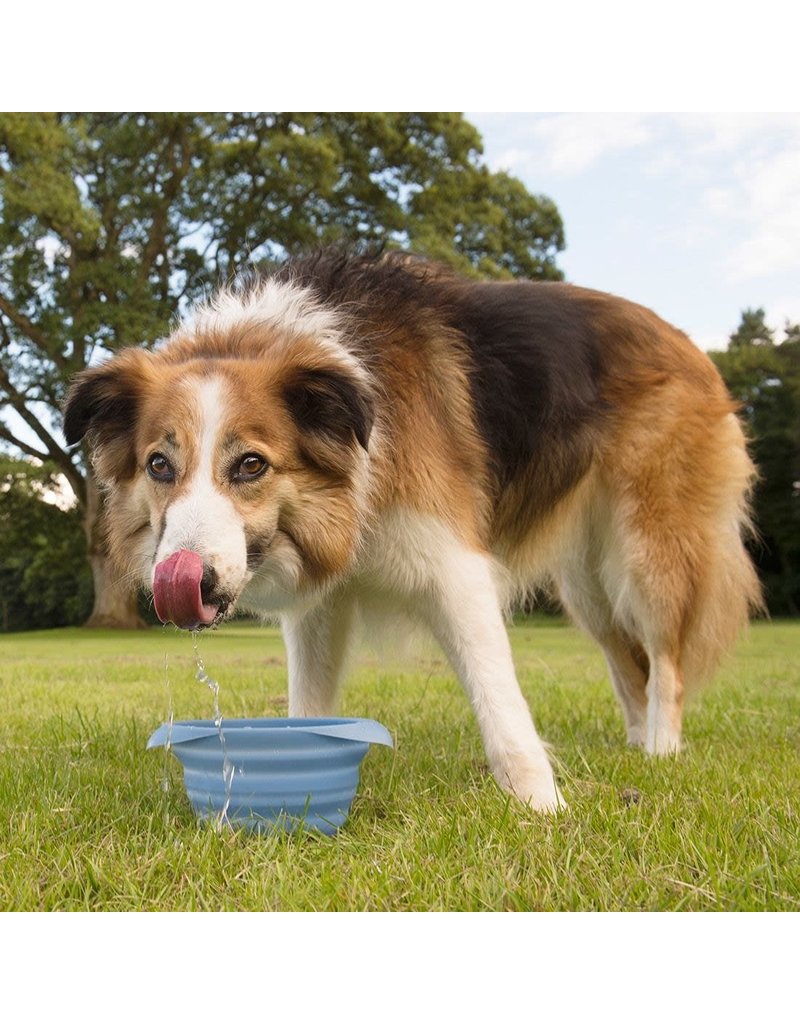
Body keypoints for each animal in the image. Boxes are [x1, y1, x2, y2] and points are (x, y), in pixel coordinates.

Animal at [62, 247, 762, 806]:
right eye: (159, 464)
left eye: (251, 464)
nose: (189, 582)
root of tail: (686, 341)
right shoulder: (323, 603)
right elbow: (306, 705)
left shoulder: (456, 570)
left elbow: (501, 702)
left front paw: (544, 807)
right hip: (587, 581)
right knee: (625, 661)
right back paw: (635, 746)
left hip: (646, 554)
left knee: (664, 661)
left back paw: (661, 752)